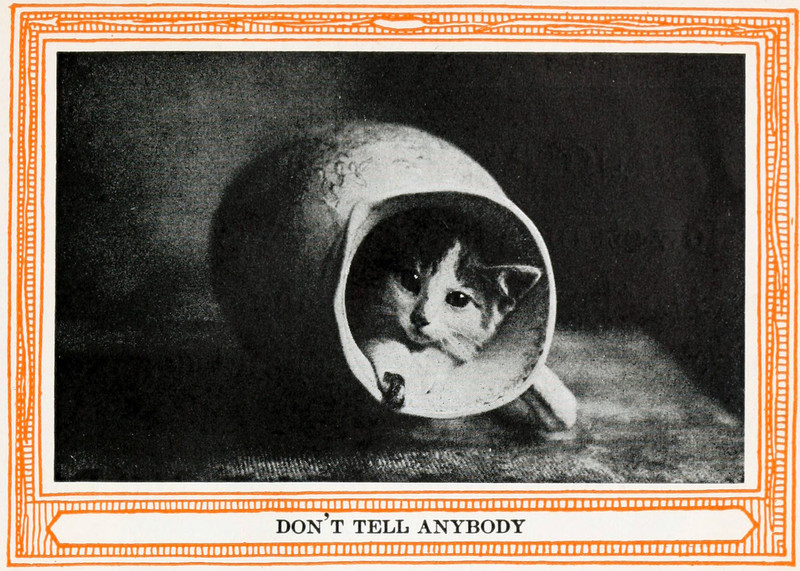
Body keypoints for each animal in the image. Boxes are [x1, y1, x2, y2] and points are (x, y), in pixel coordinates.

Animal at [346, 207, 542, 410]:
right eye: (410, 279)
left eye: (458, 299)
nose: (419, 318)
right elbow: (378, 337)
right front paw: (401, 373)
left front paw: (426, 366)